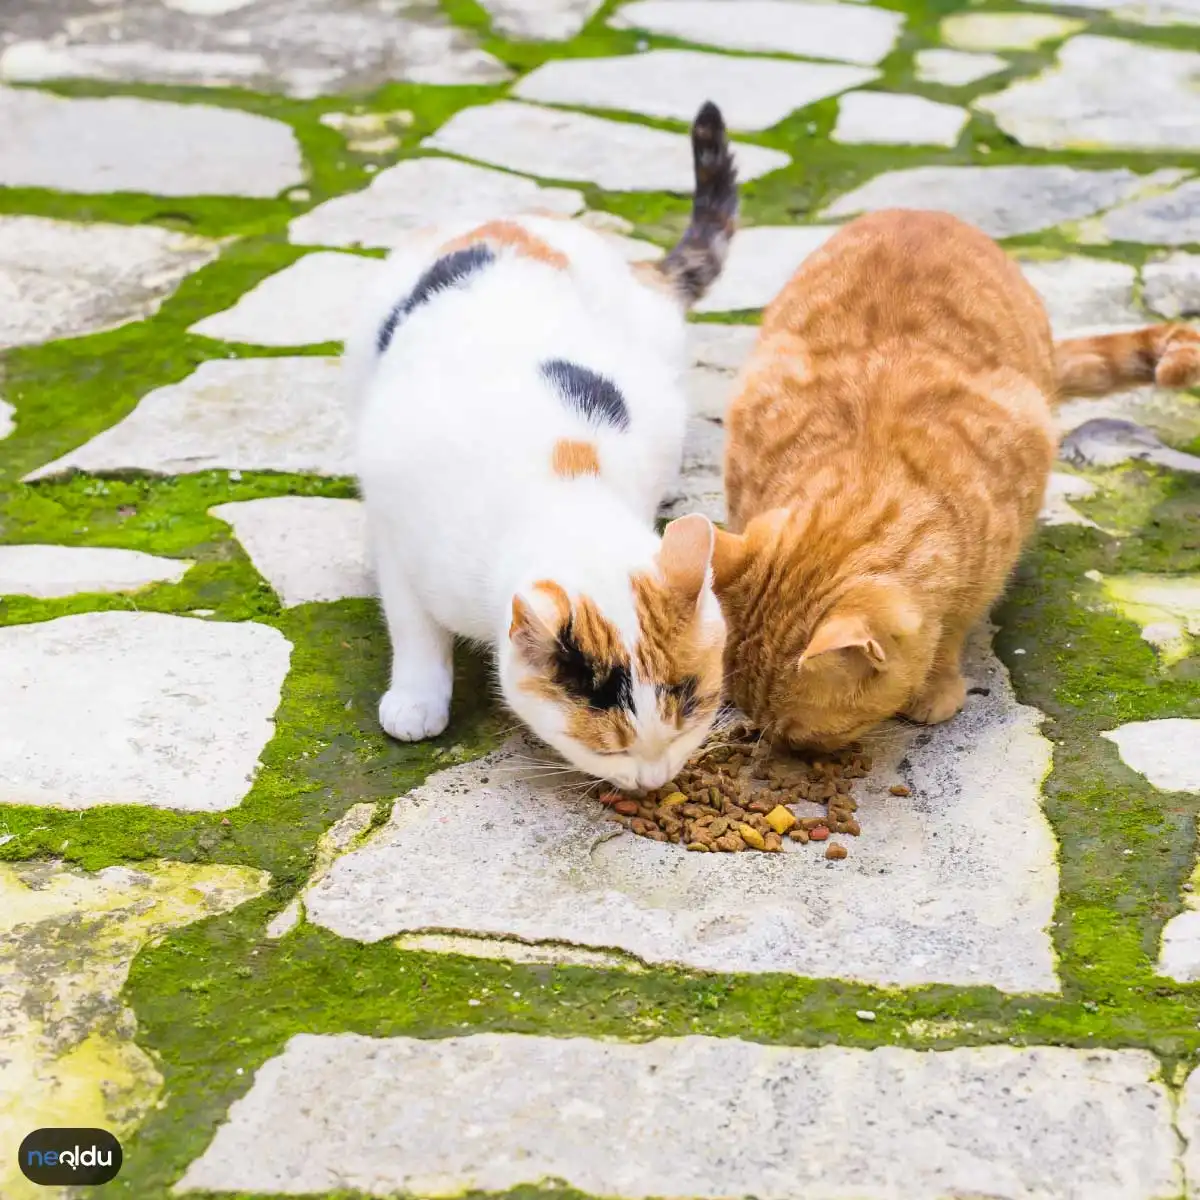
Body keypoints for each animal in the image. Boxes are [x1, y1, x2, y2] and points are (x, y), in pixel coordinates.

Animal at [348, 100, 734, 787]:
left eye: (690, 717)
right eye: (610, 749)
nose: (655, 782)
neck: (562, 480)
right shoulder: (402, 536)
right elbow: (414, 624)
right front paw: (417, 699)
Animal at [710, 207, 1200, 748]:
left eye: (798, 735)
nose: (781, 747)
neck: (870, 471)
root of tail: (916, 210)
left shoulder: (993, 555)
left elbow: (952, 627)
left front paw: (936, 685)